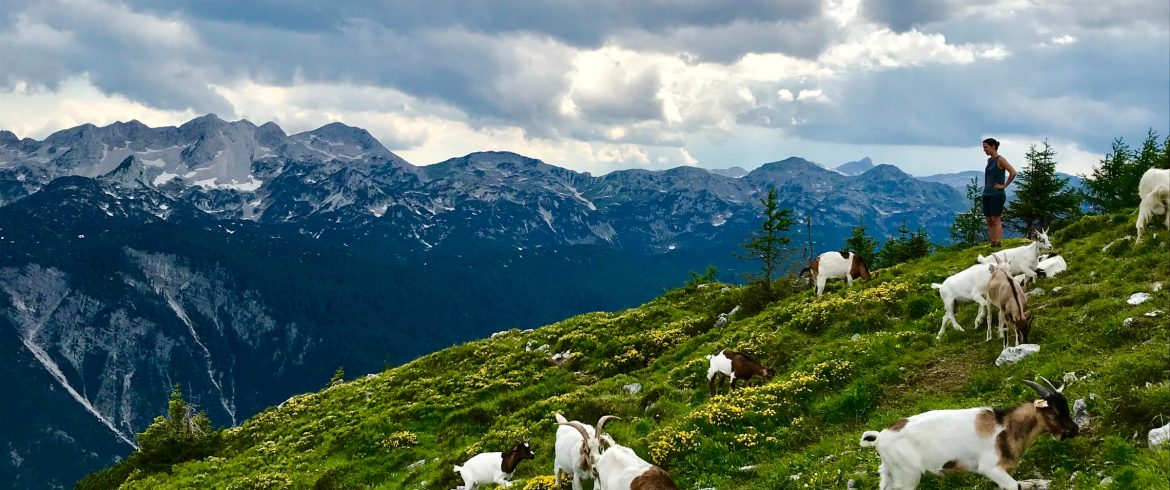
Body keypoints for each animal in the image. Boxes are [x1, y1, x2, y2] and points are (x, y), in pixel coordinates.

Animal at [859, 378, 1079, 490]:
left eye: (1066, 406)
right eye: (1053, 412)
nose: (1074, 430)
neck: (1005, 426)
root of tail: (880, 438)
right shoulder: (990, 468)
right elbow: (1014, 486)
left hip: (889, 472)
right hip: (907, 475)